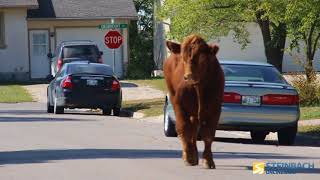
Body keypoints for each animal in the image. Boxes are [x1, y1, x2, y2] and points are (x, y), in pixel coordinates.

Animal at [164, 34, 224, 169]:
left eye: (202, 57)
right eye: (182, 57)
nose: (189, 76)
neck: (199, 86)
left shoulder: (215, 108)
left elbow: (208, 135)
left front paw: (208, 160)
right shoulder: (179, 105)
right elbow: (183, 129)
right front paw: (188, 158)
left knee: (194, 129)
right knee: (187, 130)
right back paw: (189, 155)